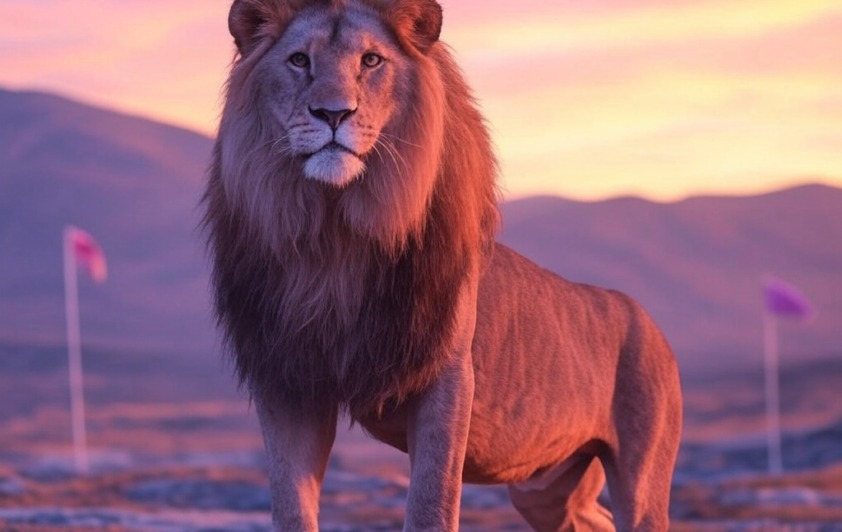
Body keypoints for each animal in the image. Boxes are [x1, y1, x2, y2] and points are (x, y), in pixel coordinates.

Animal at [202, 0, 683, 530]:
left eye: (371, 61)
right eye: (299, 61)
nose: (333, 113)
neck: (338, 235)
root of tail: (642, 316)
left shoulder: (447, 379)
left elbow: (431, 505)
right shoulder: (287, 381)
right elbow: (291, 509)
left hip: (641, 474)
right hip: (546, 489)